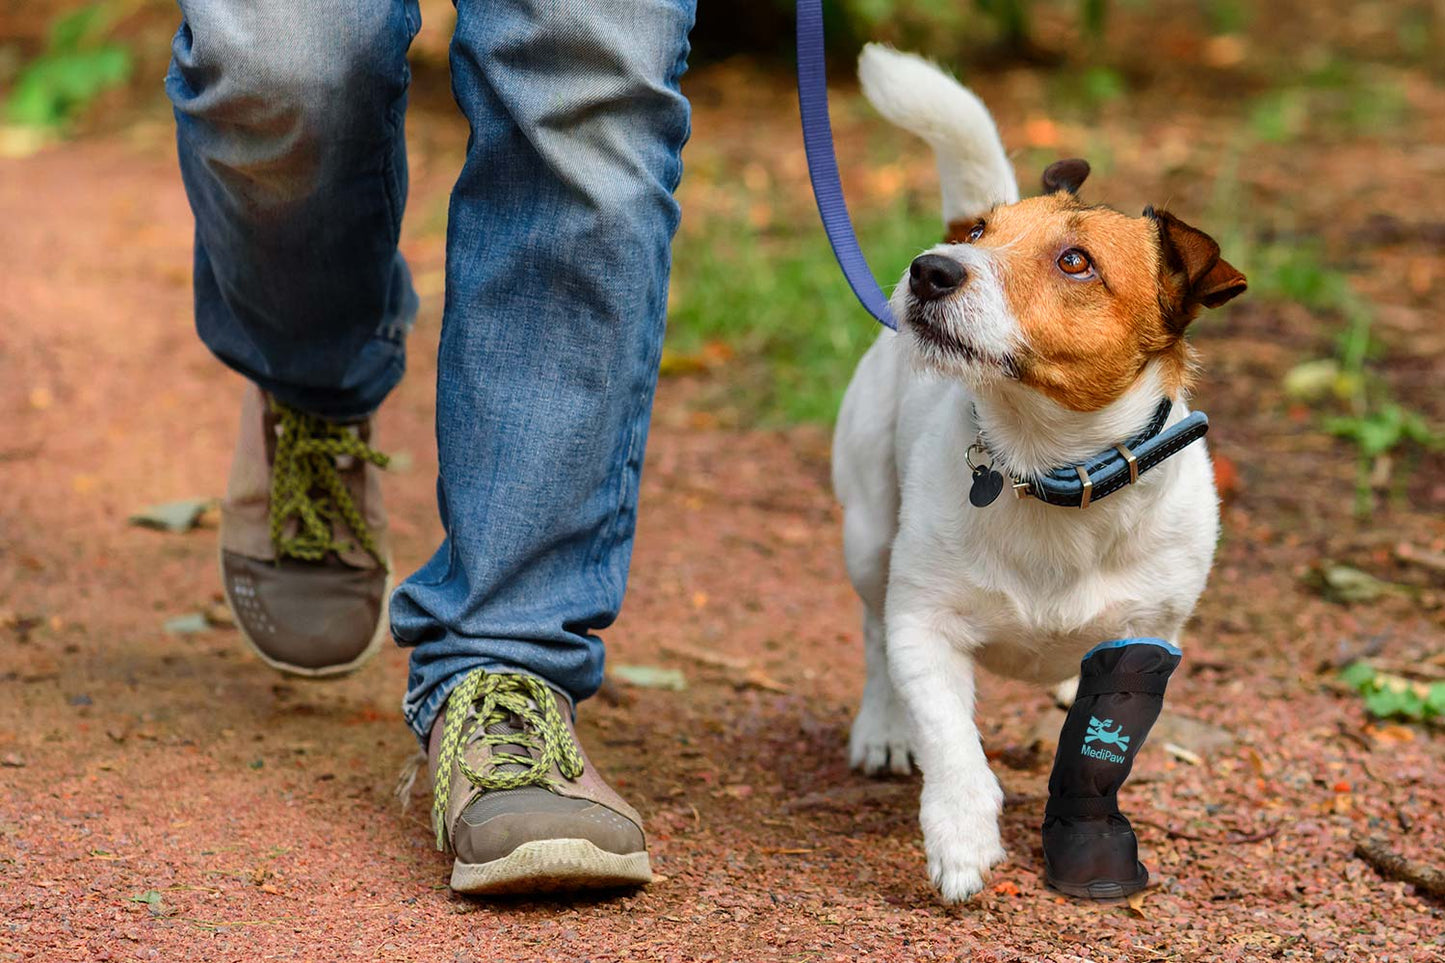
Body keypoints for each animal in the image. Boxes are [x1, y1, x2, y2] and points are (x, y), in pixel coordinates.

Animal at [832, 45, 1248, 902]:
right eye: (983, 232)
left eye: (1074, 262)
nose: (929, 267)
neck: (1044, 466)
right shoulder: (924, 625)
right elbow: (951, 738)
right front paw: (960, 837)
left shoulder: (1146, 641)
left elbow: (1096, 751)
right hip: (866, 532)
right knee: (872, 633)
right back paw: (883, 727)